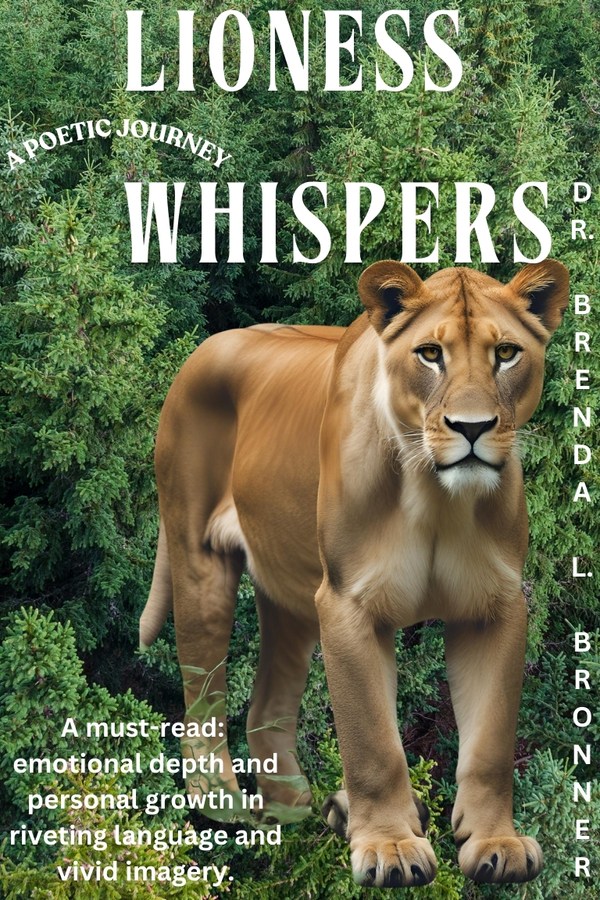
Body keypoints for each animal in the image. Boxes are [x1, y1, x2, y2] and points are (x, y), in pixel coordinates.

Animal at [140, 260, 569, 887]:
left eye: (507, 353)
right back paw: (226, 805)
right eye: (430, 354)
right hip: (201, 564)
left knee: (266, 710)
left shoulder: (495, 606)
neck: (436, 497)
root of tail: (205, 347)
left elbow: (490, 740)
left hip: (291, 598)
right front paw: (390, 847)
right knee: (201, 696)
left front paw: (497, 843)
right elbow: (371, 739)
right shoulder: (347, 603)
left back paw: (303, 812)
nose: (471, 427)